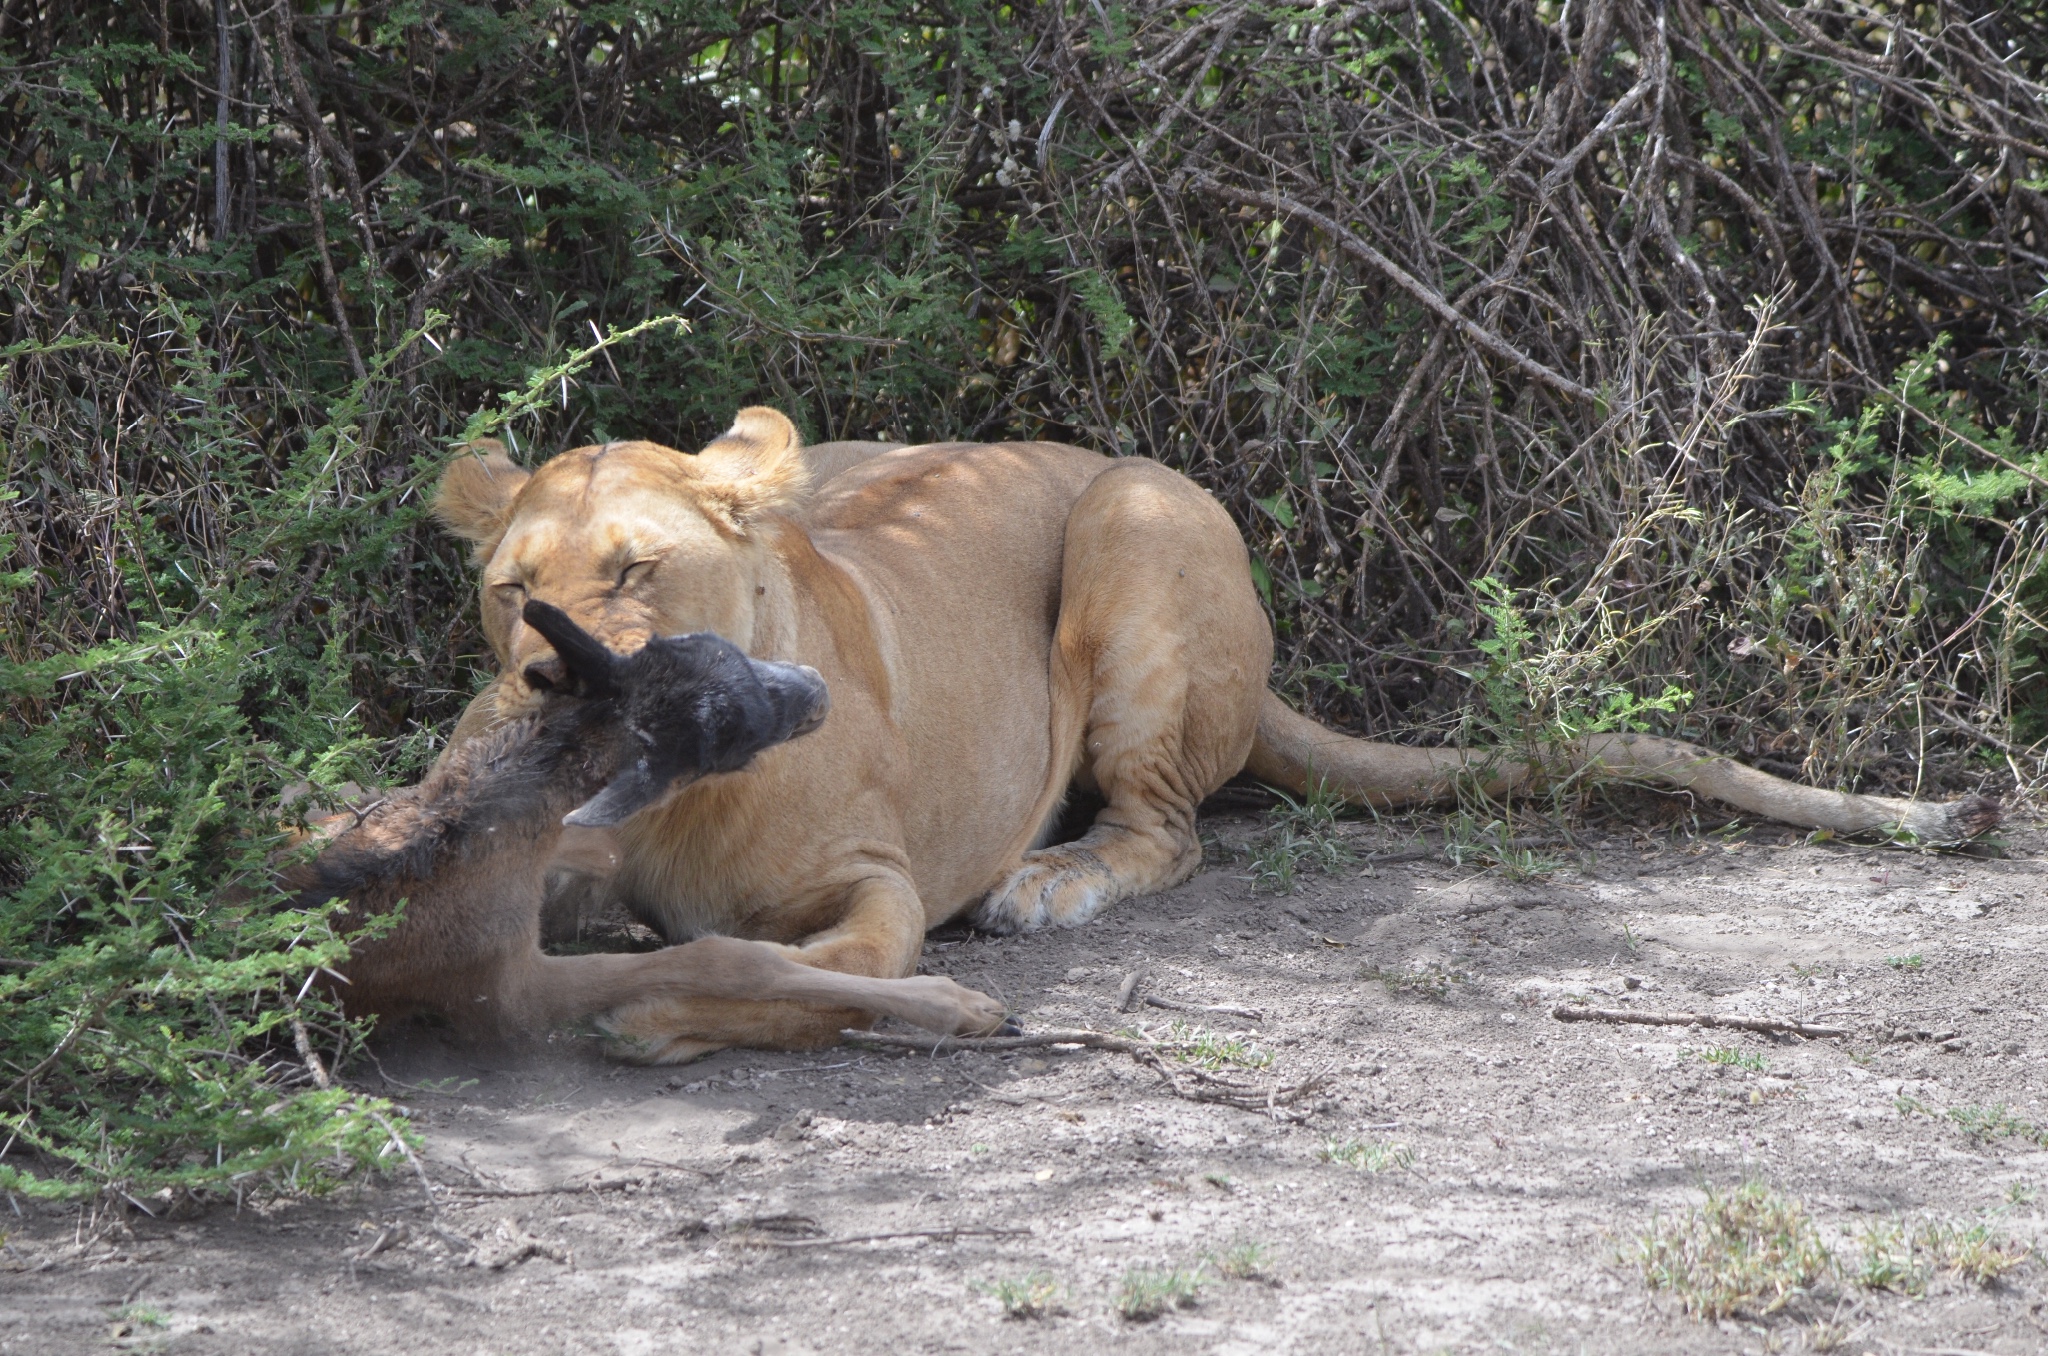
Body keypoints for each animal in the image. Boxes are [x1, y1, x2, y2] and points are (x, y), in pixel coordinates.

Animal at [290, 602, 1015, 1044]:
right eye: (730, 737)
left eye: (704, 641)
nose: (816, 685)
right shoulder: (504, 992)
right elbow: (725, 958)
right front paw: (961, 1004)